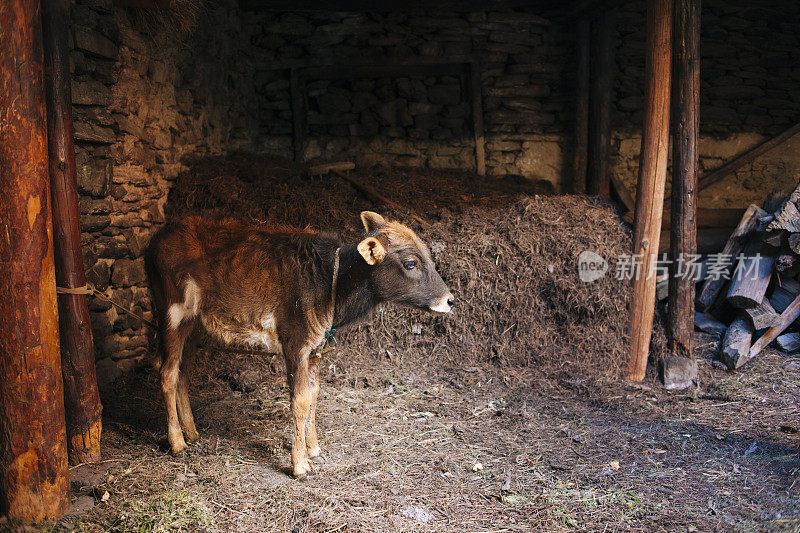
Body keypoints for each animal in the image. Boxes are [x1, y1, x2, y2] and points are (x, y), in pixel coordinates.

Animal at [146, 210, 454, 476]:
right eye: (410, 263)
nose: (450, 300)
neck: (330, 283)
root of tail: (158, 238)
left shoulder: (316, 350)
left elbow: (314, 394)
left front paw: (313, 448)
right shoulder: (295, 343)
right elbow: (300, 400)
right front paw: (300, 464)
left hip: (195, 325)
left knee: (183, 372)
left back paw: (192, 432)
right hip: (172, 313)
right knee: (167, 372)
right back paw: (177, 442)